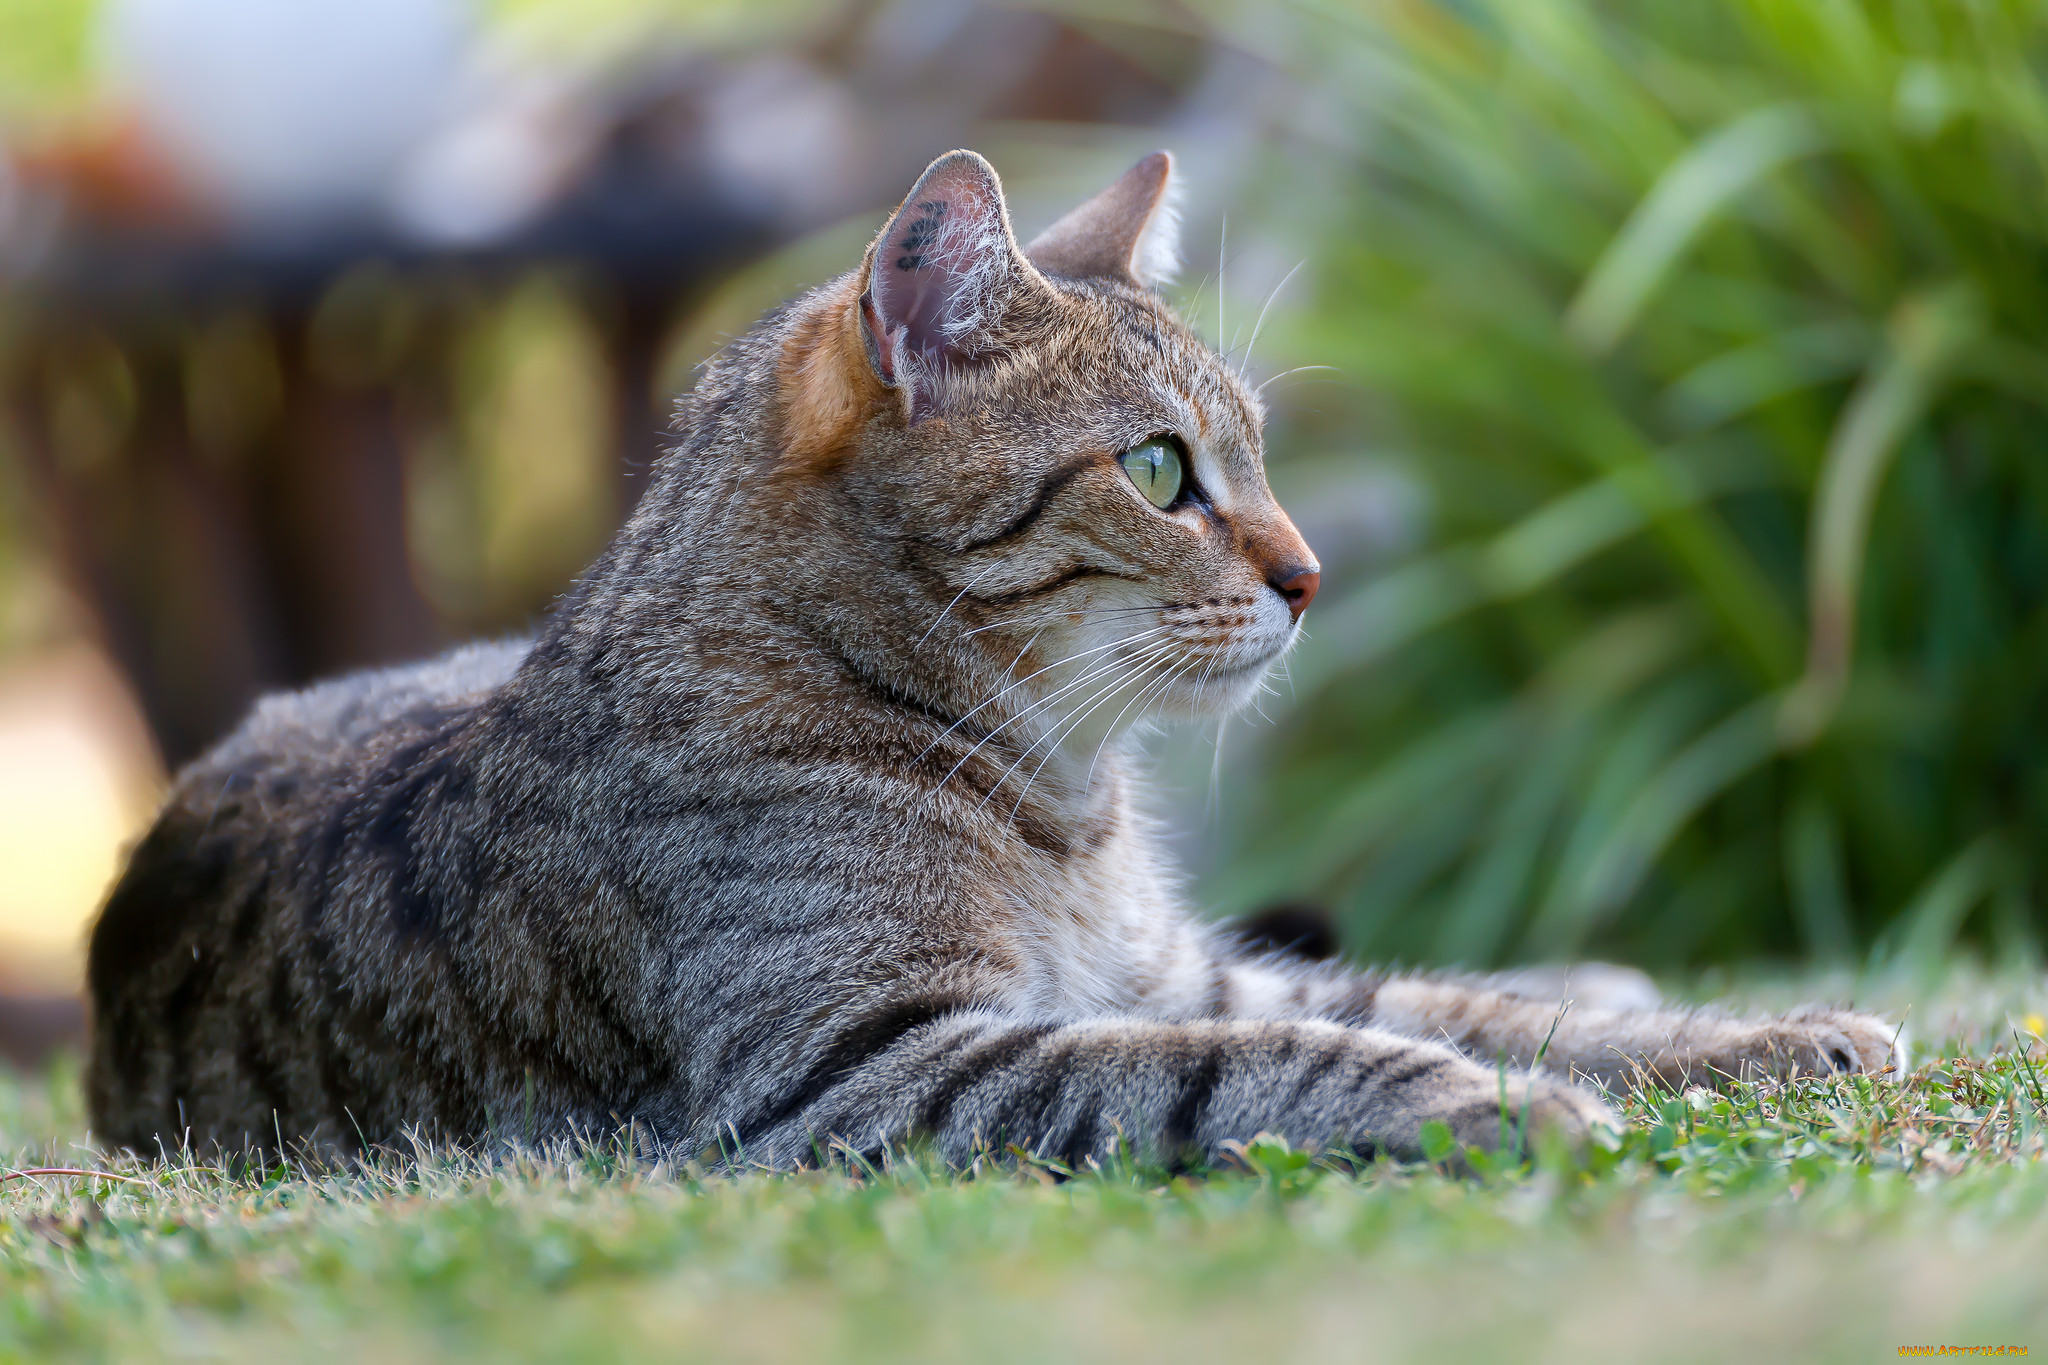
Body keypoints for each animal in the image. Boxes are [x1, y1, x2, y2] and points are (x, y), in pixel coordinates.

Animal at [88, 152, 1892, 1178]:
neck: (1065, 801)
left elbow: (1438, 998)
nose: (1311, 576)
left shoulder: (1170, 975)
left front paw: (1762, 1033)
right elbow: (1270, 1061)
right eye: (1161, 471)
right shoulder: (860, 1070)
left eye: (1256, 452)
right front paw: (1490, 1107)